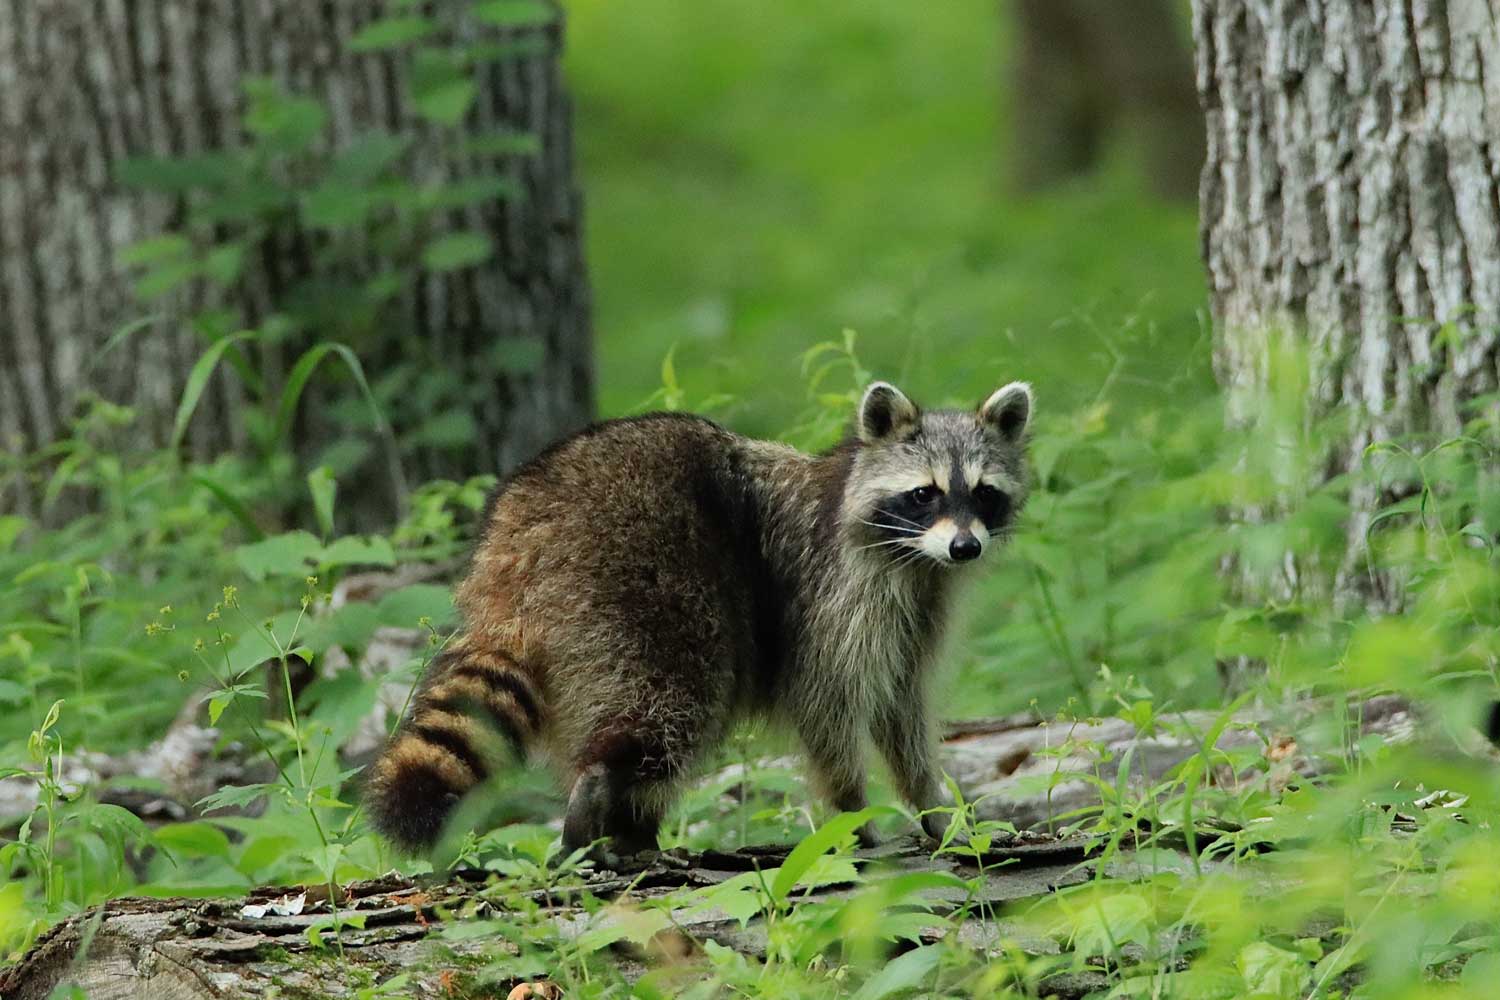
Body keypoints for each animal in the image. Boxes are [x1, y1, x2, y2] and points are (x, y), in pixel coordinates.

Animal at [369, 379, 1038, 857]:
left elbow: (901, 711)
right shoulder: (832, 594)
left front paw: (935, 808)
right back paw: (604, 804)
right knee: (669, 704)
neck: (914, 555)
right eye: (925, 493)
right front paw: (856, 816)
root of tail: (519, 527)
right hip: (640, 578)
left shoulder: (918, 611)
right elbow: (827, 705)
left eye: (983, 493)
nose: (965, 548)